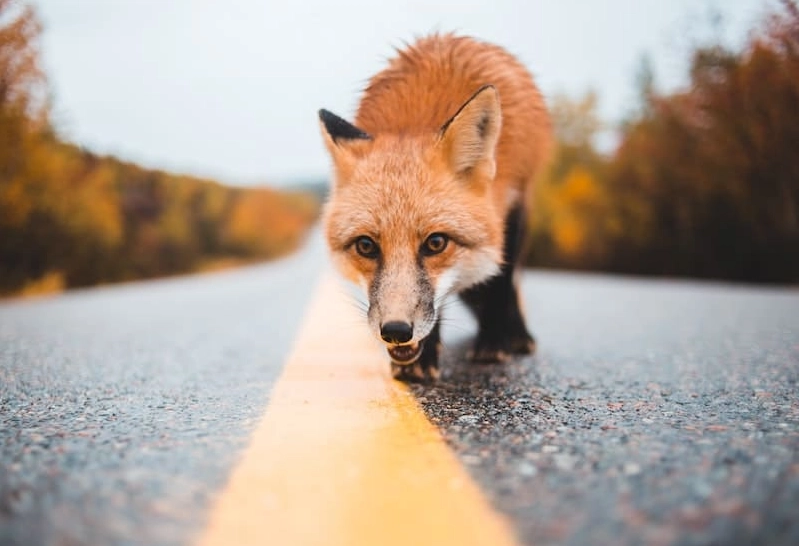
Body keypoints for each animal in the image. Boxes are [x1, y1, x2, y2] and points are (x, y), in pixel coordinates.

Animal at [318, 33, 552, 382]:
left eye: (436, 243)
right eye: (366, 246)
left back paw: (517, 335)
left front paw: (493, 342)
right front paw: (423, 358)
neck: (414, 120)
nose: (396, 331)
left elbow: (500, 282)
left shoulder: (512, 206)